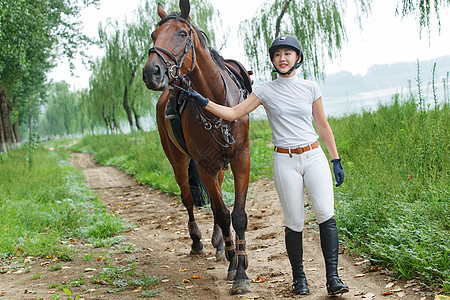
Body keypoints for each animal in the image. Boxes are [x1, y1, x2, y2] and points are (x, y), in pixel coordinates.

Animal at [142, 0, 251, 294]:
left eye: (182, 33)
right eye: (153, 36)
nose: (151, 72)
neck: (216, 103)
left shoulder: (241, 159)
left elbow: (236, 215)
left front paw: (240, 268)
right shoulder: (203, 165)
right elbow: (223, 214)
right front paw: (235, 267)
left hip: (220, 166)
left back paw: (219, 244)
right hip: (179, 161)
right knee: (189, 198)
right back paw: (199, 241)